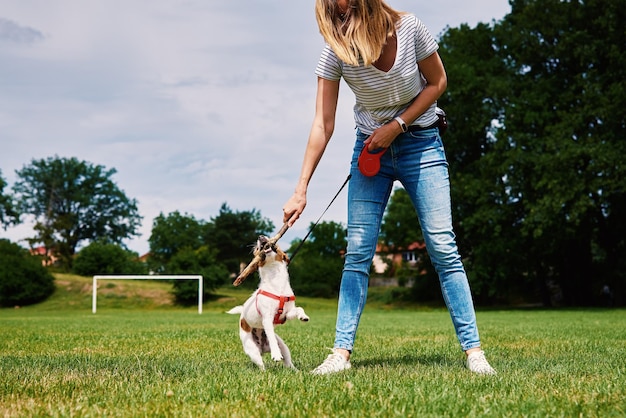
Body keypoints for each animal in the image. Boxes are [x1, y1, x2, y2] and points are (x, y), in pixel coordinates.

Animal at [228, 235, 308, 370]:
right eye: (256, 249)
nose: (261, 236)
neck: (276, 279)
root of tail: (262, 349)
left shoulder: (286, 314)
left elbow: (298, 309)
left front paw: (303, 316)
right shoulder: (267, 318)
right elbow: (270, 334)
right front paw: (275, 355)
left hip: (284, 346)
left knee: (288, 362)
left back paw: (296, 371)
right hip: (252, 350)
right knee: (261, 365)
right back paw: (265, 369)